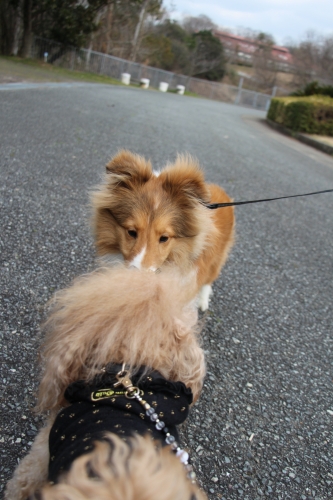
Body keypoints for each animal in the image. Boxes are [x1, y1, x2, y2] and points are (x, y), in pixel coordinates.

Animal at [91, 150, 233, 310]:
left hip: (217, 259)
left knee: (208, 280)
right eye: (131, 232)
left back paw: (202, 302)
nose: (137, 284)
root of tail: (222, 191)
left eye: (164, 238)